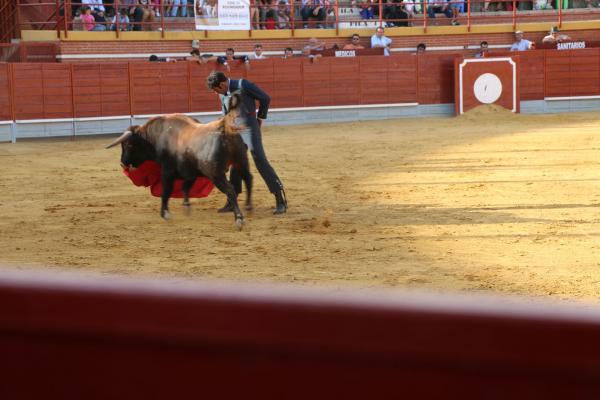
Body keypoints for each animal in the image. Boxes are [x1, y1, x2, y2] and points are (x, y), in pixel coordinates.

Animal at [105, 92, 251, 230]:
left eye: (128, 145)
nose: (122, 162)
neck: (157, 136)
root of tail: (224, 127)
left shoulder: (167, 171)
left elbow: (166, 190)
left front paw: (165, 213)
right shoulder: (191, 172)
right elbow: (185, 187)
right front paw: (186, 206)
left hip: (216, 174)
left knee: (231, 190)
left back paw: (239, 218)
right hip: (241, 162)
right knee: (248, 179)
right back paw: (249, 206)